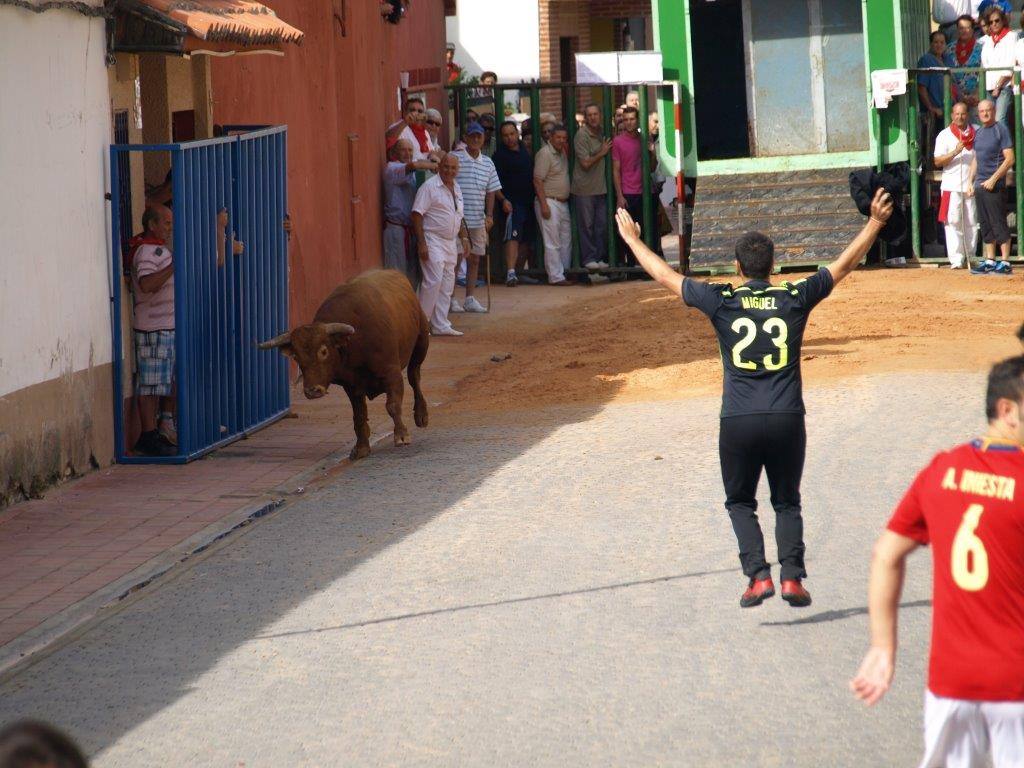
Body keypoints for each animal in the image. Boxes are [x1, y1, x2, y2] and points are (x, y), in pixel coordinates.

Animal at [260, 270, 432, 460]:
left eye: (324, 351)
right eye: (296, 356)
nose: (312, 391)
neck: (353, 344)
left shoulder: (391, 373)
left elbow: (393, 405)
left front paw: (401, 435)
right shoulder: (352, 386)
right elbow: (359, 415)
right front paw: (361, 447)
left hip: (421, 344)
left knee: (414, 377)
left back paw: (421, 415)